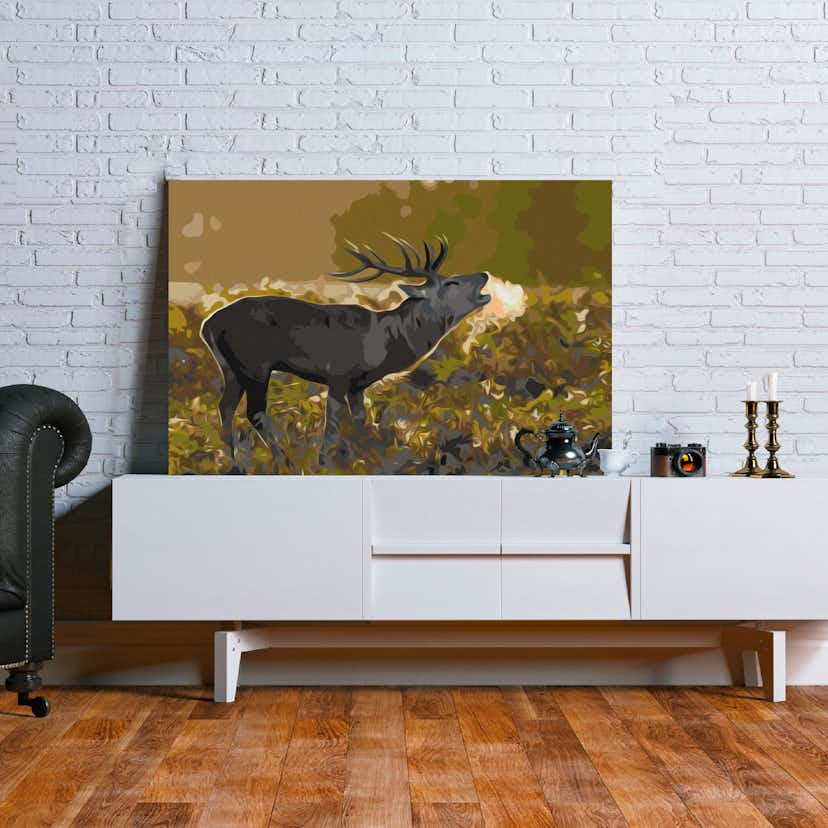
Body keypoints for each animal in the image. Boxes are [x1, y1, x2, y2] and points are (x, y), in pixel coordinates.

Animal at [200, 235, 491, 473]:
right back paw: (284, 463)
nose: (484, 274)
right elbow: (331, 425)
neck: (386, 342)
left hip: (231, 368)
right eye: (451, 282)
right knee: (255, 412)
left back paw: (233, 463)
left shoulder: (357, 385)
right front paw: (324, 464)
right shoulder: (338, 373)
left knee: (225, 406)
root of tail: (207, 325)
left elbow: (359, 422)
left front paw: (360, 459)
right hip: (255, 364)